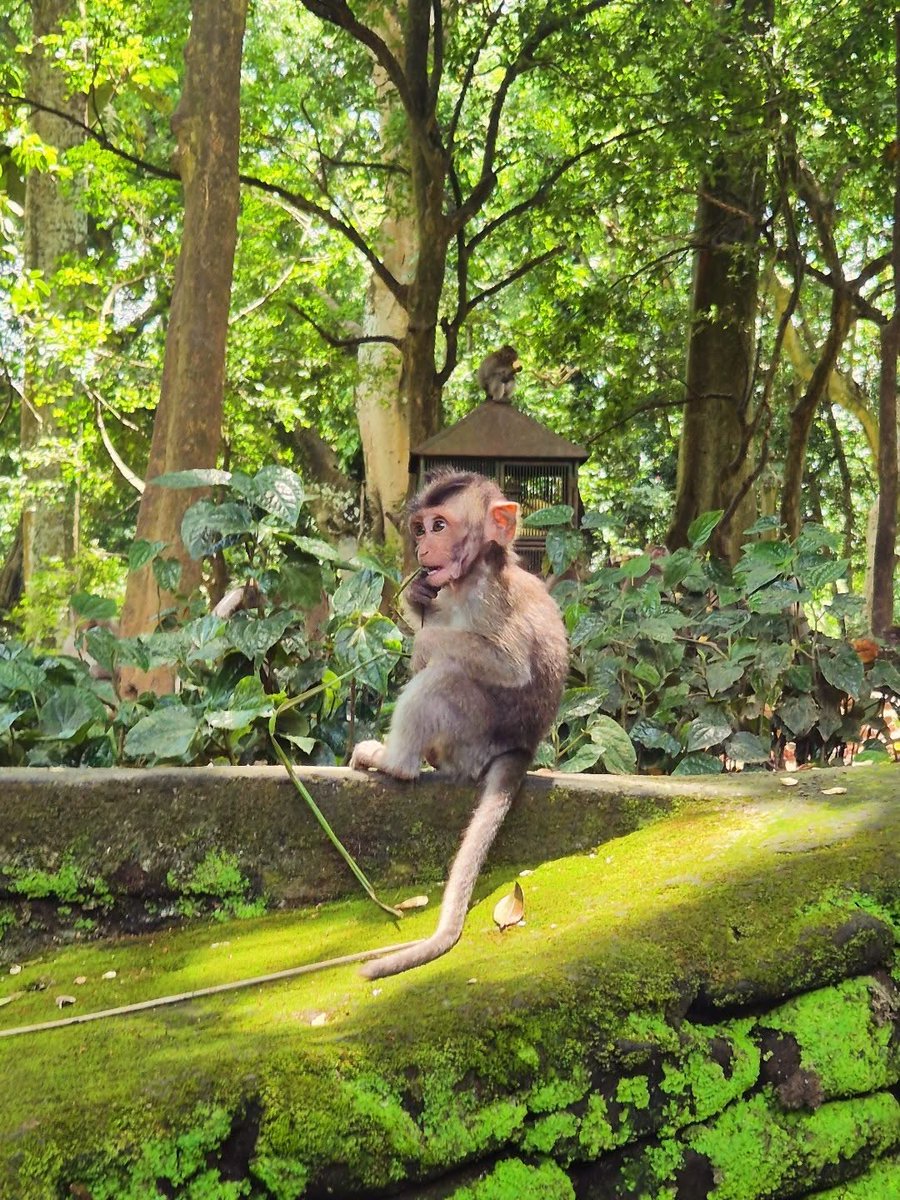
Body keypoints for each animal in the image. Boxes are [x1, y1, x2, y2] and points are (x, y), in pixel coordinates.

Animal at [349, 470, 568, 979]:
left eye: (440, 526)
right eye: (420, 528)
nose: (423, 549)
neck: (472, 575)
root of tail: (520, 749)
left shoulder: (490, 597)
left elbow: (508, 666)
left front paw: (422, 643)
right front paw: (415, 598)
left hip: (470, 733)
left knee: (445, 676)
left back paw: (394, 761)